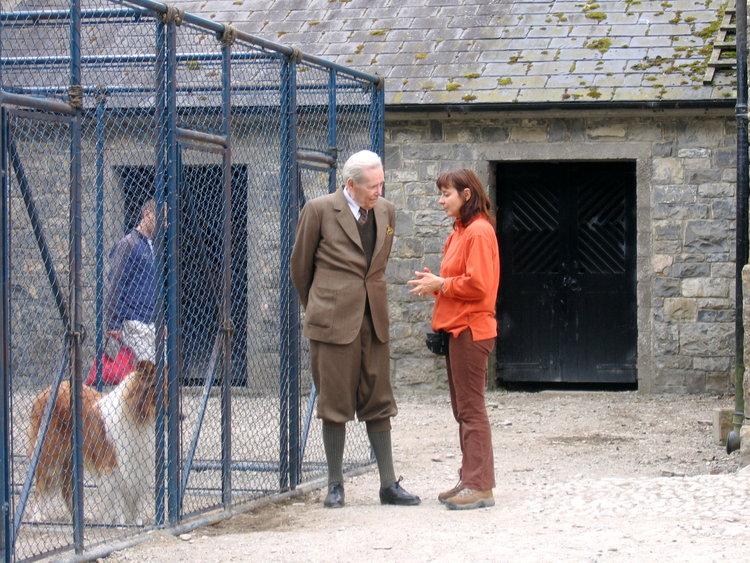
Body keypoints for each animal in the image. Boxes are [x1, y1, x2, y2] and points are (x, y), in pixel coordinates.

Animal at [28, 362, 163, 524]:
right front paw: (122, 522)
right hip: (50, 454)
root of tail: (43, 392)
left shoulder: (139, 463)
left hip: (68, 459)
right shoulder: (112, 465)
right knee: (41, 486)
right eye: (156, 386)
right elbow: (119, 496)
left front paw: (137, 522)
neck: (137, 416)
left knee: (66, 490)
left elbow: (136, 497)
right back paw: (37, 516)